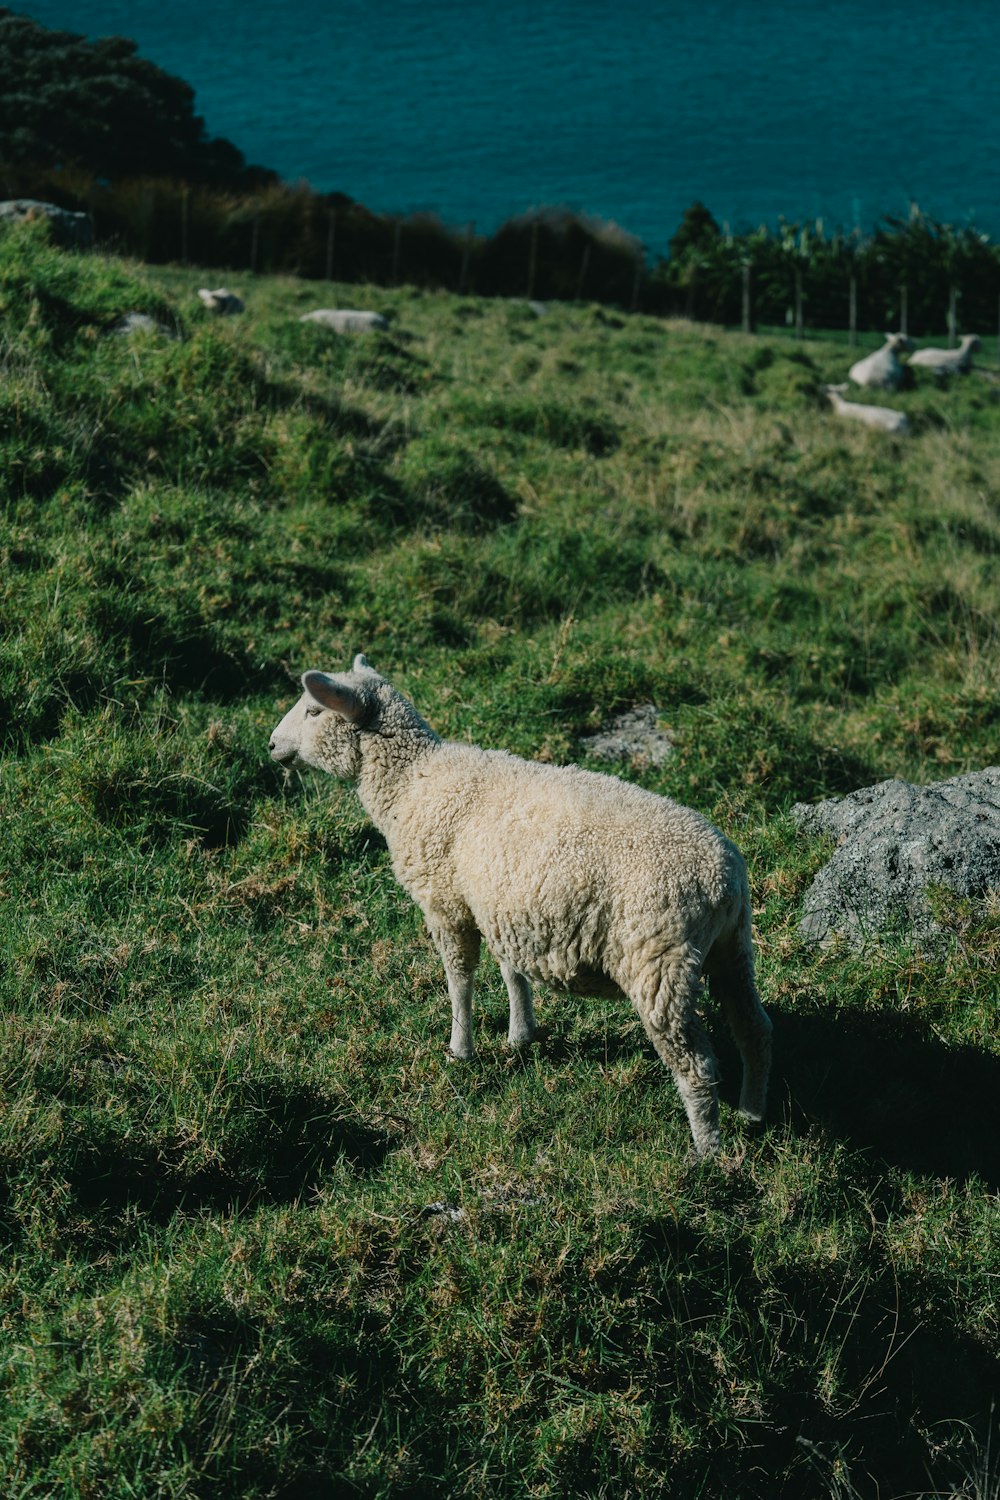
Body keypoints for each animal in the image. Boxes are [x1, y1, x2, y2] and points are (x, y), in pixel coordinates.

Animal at [268, 651, 773, 1152]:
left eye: (313, 711)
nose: (271, 745)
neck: (412, 780)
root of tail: (724, 877)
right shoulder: (501, 906)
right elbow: (512, 973)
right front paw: (520, 1035)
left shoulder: (447, 904)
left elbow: (460, 979)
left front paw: (460, 1050)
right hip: (732, 947)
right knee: (755, 1028)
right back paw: (752, 1113)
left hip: (659, 961)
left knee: (697, 1064)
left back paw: (707, 1151)